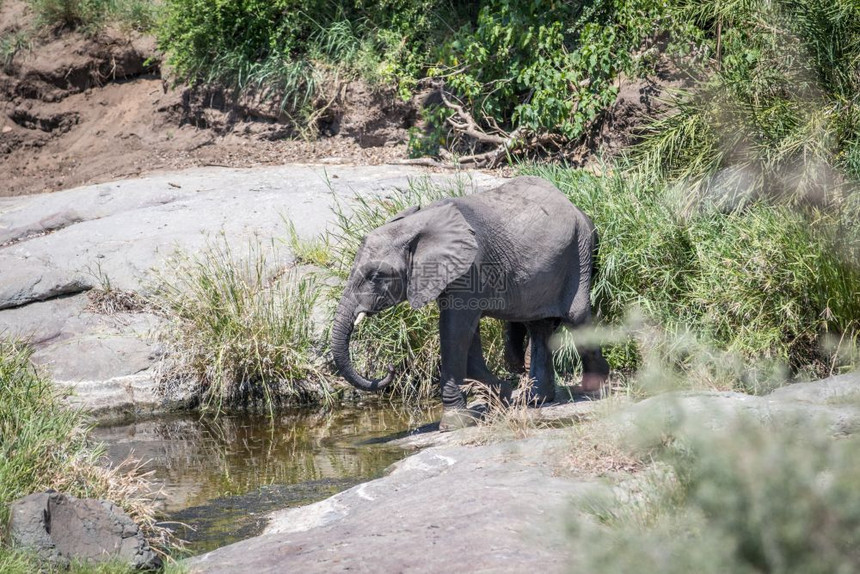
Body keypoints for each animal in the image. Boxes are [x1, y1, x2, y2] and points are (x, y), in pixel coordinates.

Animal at [332, 176, 608, 432]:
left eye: (376, 276)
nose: (391, 369)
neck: (416, 225)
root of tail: (577, 209)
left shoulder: (470, 267)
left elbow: (454, 331)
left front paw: (454, 423)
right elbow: (466, 335)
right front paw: (502, 395)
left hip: (578, 253)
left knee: (575, 316)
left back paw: (594, 390)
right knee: (538, 326)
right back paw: (535, 399)